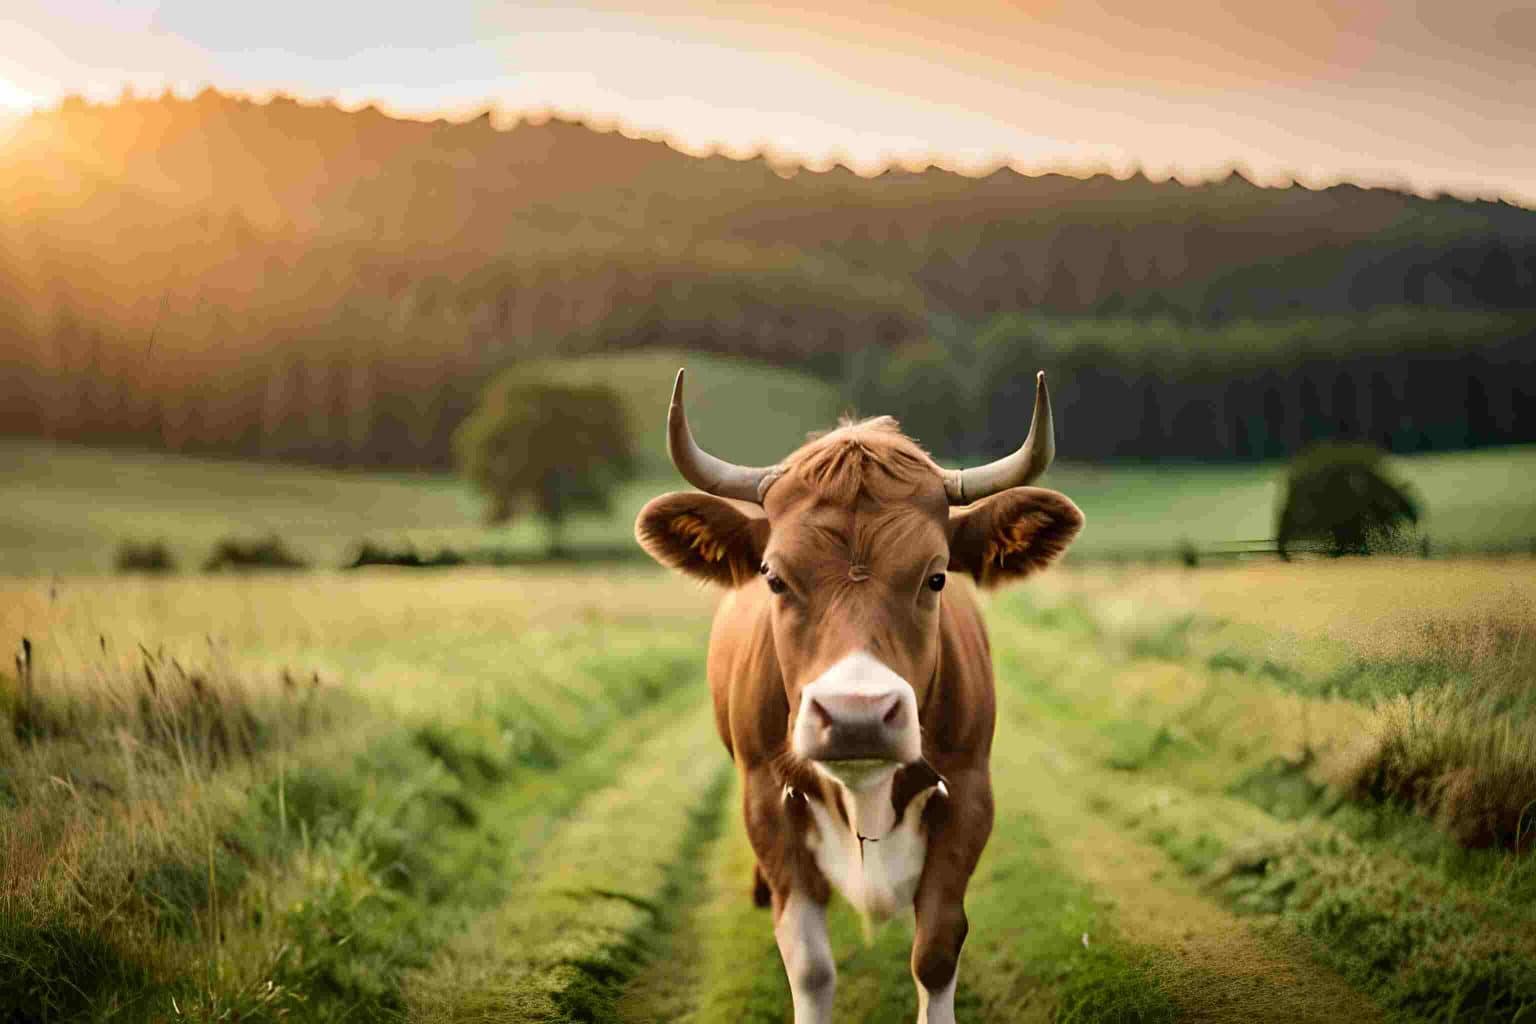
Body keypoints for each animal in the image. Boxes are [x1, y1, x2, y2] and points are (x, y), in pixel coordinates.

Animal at [635, 368, 1084, 1023]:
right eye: (774, 577)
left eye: (936, 576)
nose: (857, 718)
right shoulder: (765, 799)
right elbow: (810, 963)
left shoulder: (970, 793)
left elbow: (937, 950)